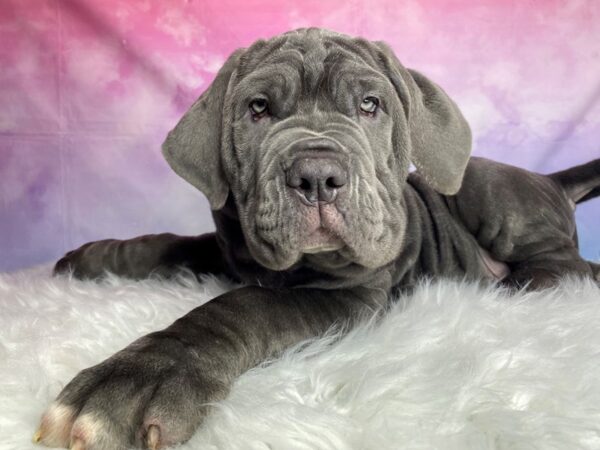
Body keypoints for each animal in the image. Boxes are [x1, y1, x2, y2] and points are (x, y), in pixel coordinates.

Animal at [35, 28, 596, 450]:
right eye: (258, 108)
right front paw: (95, 257)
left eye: (370, 105)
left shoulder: (350, 293)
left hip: (488, 189)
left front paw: (141, 375)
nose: (317, 175)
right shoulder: (229, 248)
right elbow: (172, 243)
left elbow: (245, 306)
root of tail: (552, 181)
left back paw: (508, 284)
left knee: (569, 265)